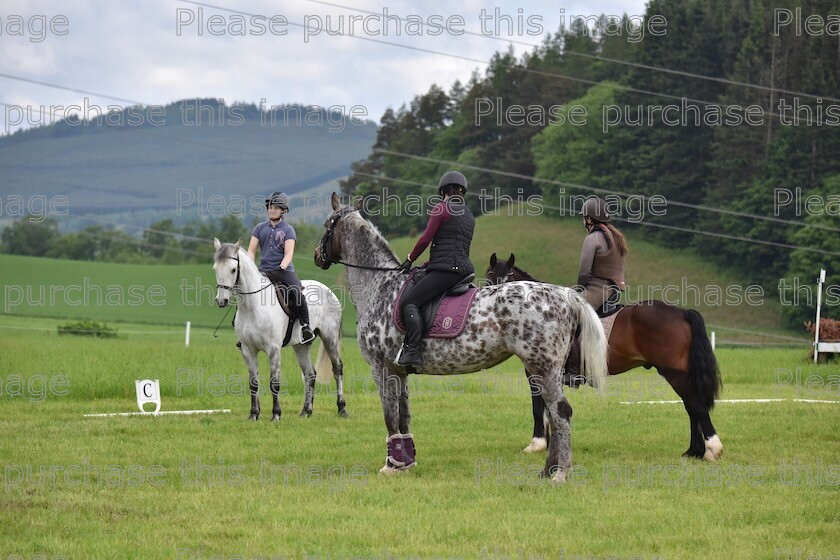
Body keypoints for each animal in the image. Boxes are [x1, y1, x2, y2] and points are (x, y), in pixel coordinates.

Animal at [217, 240, 352, 420]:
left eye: (233, 269)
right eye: (215, 268)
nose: (221, 300)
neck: (253, 306)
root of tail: (328, 290)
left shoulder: (273, 349)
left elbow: (274, 382)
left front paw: (276, 414)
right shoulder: (248, 350)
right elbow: (253, 383)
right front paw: (254, 414)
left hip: (329, 338)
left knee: (337, 368)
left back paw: (342, 408)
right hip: (301, 345)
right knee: (310, 373)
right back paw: (306, 411)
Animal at [312, 194, 608, 482]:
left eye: (327, 225)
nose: (317, 256)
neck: (381, 287)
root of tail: (564, 295)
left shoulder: (381, 368)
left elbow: (390, 417)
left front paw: (390, 465)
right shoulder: (400, 370)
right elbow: (404, 416)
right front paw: (406, 462)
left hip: (542, 368)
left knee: (561, 413)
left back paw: (560, 473)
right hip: (543, 369)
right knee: (554, 414)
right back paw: (547, 471)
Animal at [486, 253, 720, 460]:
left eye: (507, 281)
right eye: (489, 278)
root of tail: (682, 312)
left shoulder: (536, 375)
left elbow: (538, 408)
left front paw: (537, 444)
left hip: (674, 373)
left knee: (695, 406)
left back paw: (711, 450)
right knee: (691, 407)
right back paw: (694, 451)